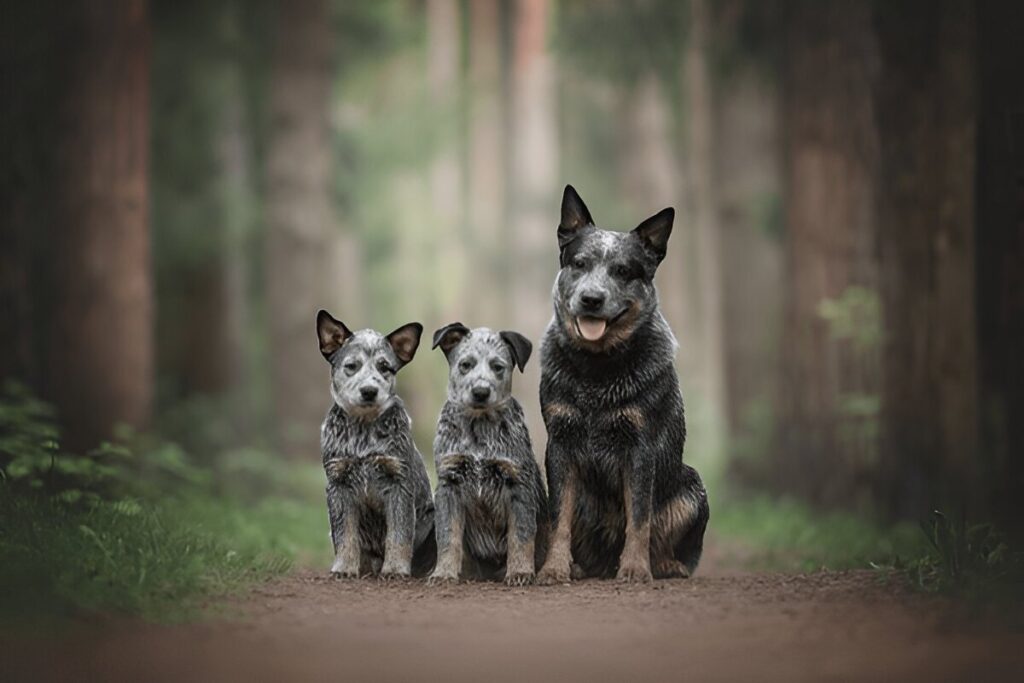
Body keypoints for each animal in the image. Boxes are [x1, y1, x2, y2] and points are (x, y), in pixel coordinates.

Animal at [315, 313, 436, 581]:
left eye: (384, 367)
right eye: (352, 366)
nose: (369, 391)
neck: (364, 431)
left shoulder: (399, 482)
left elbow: (399, 534)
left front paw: (395, 569)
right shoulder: (338, 484)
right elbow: (345, 535)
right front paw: (344, 568)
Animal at [428, 323, 548, 585]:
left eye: (498, 367)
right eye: (465, 364)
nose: (481, 391)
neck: (479, 430)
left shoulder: (518, 483)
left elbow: (521, 536)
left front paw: (520, 572)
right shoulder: (449, 483)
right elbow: (447, 535)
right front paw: (443, 572)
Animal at [536, 184, 712, 585]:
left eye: (622, 270)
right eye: (579, 263)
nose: (591, 298)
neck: (596, 371)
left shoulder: (640, 446)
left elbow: (640, 517)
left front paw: (634, 568)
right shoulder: (560, 443)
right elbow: (558, 519)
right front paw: (554, 568)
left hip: (692, 486)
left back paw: (664, 565)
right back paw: (579, 566)